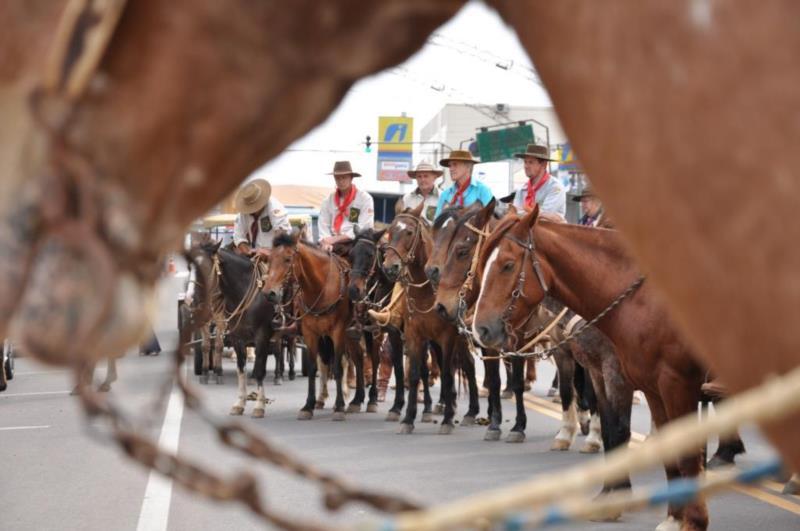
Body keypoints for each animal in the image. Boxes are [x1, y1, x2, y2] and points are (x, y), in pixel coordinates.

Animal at [193, 242, 278, 420]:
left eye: (205, 268)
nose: (196, 300)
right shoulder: (237, 337)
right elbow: (241, 369)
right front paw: (239, 403)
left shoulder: (262, 336)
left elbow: (259, 370)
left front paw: (259, 405)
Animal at [266, 233, 372, 420]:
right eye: (270, 259)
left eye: (287, 259)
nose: (269, 292)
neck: (321, 287)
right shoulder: (311, 333)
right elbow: (313, 367)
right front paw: (308, 405)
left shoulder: (338, 332)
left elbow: (338, 368)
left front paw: (339, 407)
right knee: (345, 358)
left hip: (350, 333)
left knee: (357, 358)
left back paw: (357, 400)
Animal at [382, 202, 482, 434]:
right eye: (390, 231)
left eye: (409, 232)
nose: (390, 267)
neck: (427, 292)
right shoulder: (415, 336)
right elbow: (415, 373)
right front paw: (408, 418)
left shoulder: (448, 338)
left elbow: (446, 374)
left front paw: (447, 420)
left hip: (460, 340)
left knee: (468, 365)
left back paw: (471, 411)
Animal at [472, 205, 708, 531]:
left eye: (507, 265)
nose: (480, 329)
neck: (641, 301)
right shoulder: (643, 385)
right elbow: (628, 436)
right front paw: (669, 516)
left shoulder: (666, 382)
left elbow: (639, 436)